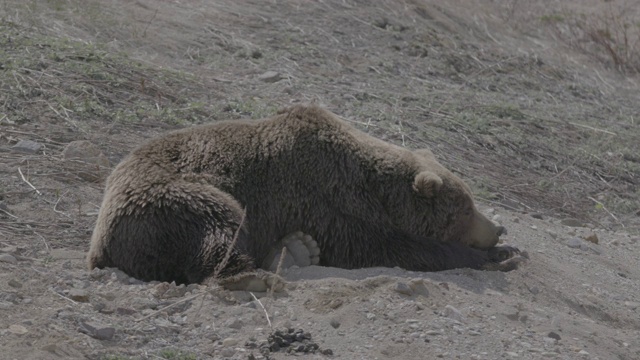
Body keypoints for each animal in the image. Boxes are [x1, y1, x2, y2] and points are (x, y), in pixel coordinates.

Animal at [87, 104, 520, 284]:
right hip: (172, 199)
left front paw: (508, 250)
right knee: (219, 226)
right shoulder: (324, 199)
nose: (497, 228)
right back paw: (269, 265)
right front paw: (500, 256)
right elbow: (387, 248)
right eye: (465, 210)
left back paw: (292, 250)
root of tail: (99, 246)